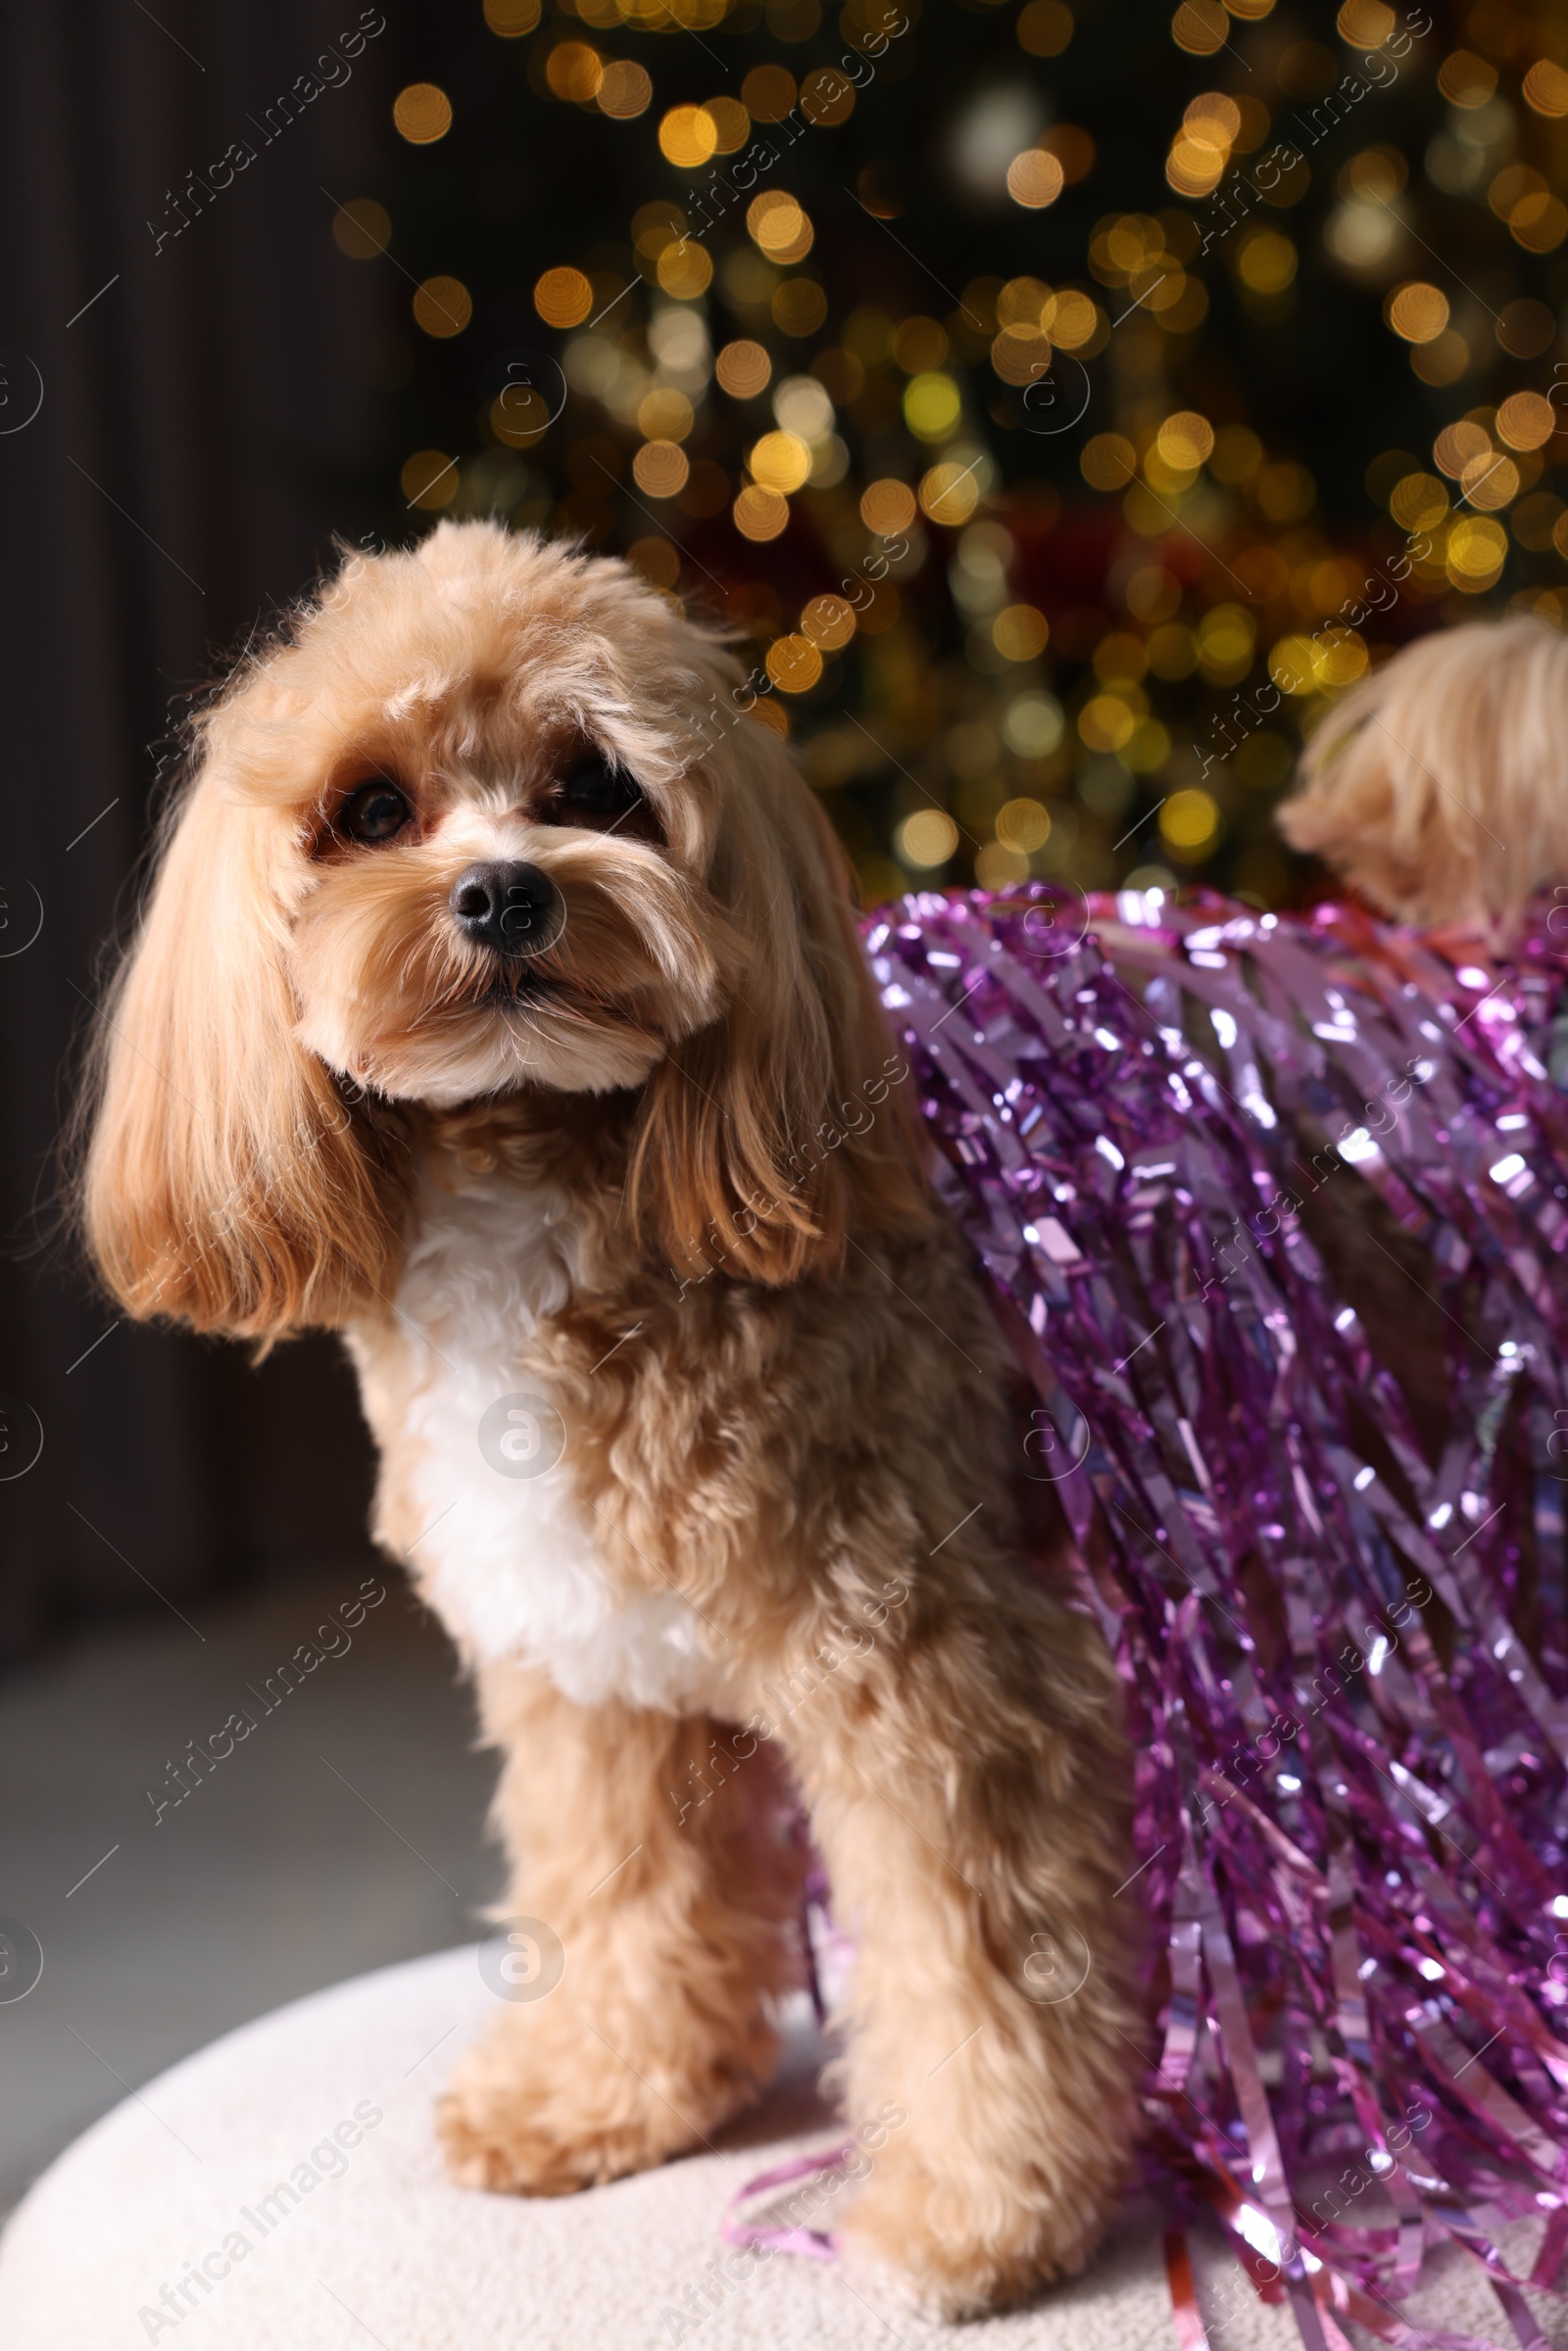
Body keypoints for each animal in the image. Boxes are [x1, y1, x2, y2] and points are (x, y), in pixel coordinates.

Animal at [75, 519, 1142, 2313]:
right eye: (371, 809)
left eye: (596, 784)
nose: (508, 889)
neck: (540, 1175)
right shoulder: (590, 1664)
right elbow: (630, 1890)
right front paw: (611, 2091)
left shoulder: (937, 1674)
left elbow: (975, 1959)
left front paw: (977, 2214)